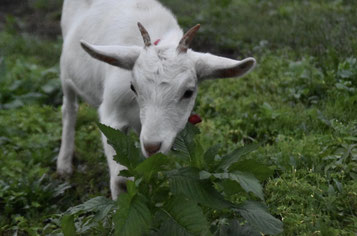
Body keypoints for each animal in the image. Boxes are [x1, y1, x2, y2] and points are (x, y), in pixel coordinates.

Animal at [57, 0, 253, 199]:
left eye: (189, 92)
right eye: (133, 87)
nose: (152, 146)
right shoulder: (112, 114)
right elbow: (121, 181)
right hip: (66, 74)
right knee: (69, 109)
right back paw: (64, 164)